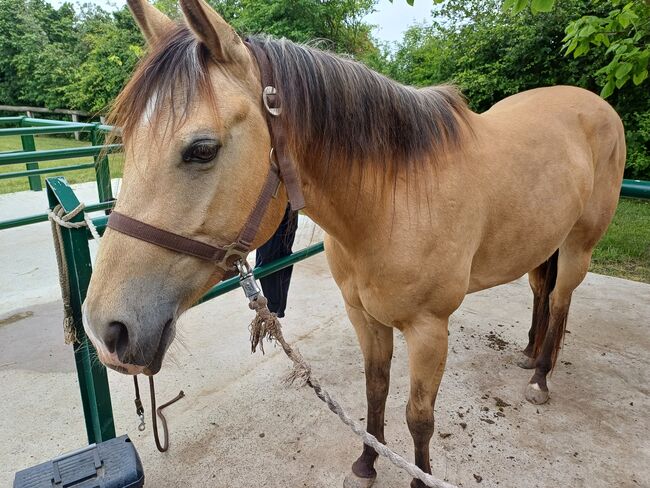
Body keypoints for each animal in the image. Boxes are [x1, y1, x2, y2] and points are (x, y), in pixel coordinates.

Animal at [81, 1, 624, 486]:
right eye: (127, 140)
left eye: (201, 150)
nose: (107, 331)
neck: (394, 200)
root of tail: (595, 105)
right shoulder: (363, 316)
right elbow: (374, 393)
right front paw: (367, 464)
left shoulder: (429, 330)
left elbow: (419, 417)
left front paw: (418, 477)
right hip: (543, 245)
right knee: (541, 294)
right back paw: (531, 354)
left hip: (578, 247)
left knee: (560, 300)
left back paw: (541, 379)